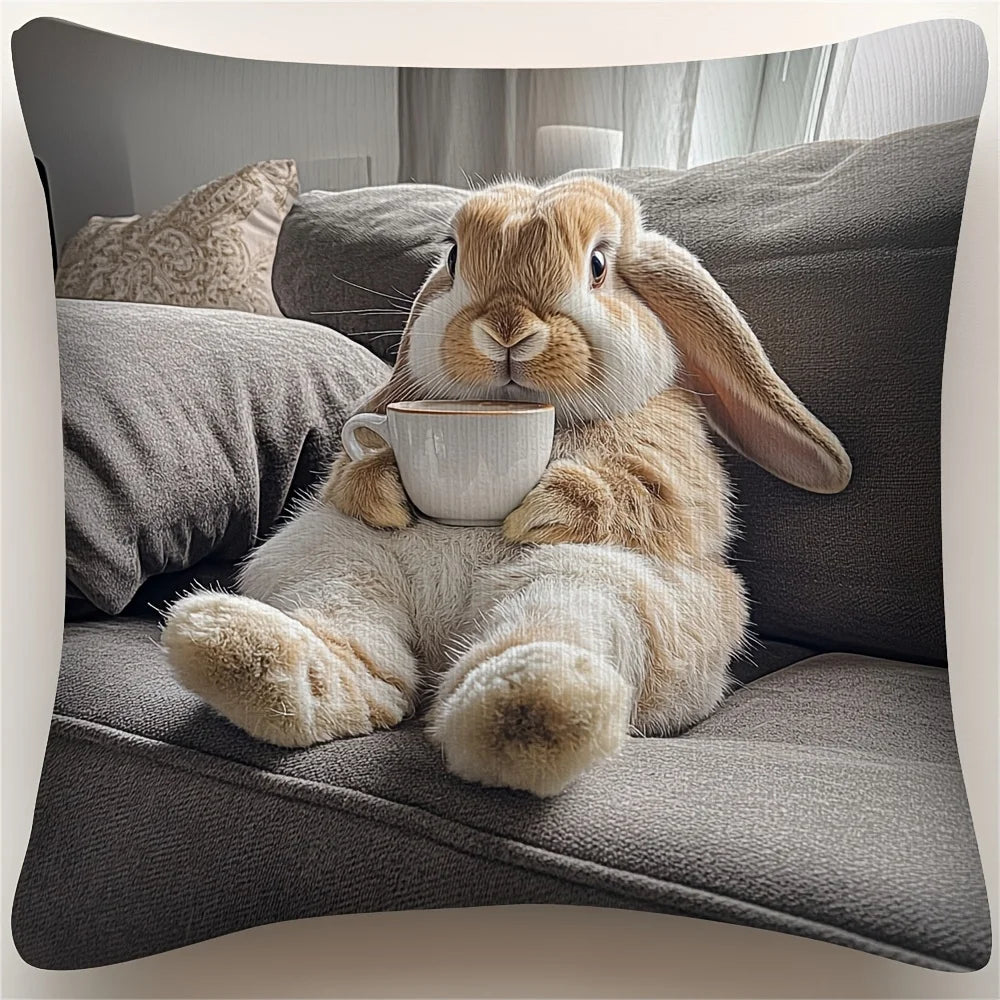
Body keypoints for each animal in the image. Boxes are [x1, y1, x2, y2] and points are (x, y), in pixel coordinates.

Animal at [162, 175, 851, 798]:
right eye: (454, 258)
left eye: (598, 265)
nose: (506, 328)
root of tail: (443, 635)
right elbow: (354, 471)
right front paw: (387, 494)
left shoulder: (669, 452)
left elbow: (645, 489)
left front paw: (533, 513)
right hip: (331, 558)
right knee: (359, 645)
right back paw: (258, 661)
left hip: (611, 589)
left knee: (550, 626)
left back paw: (527, 709)